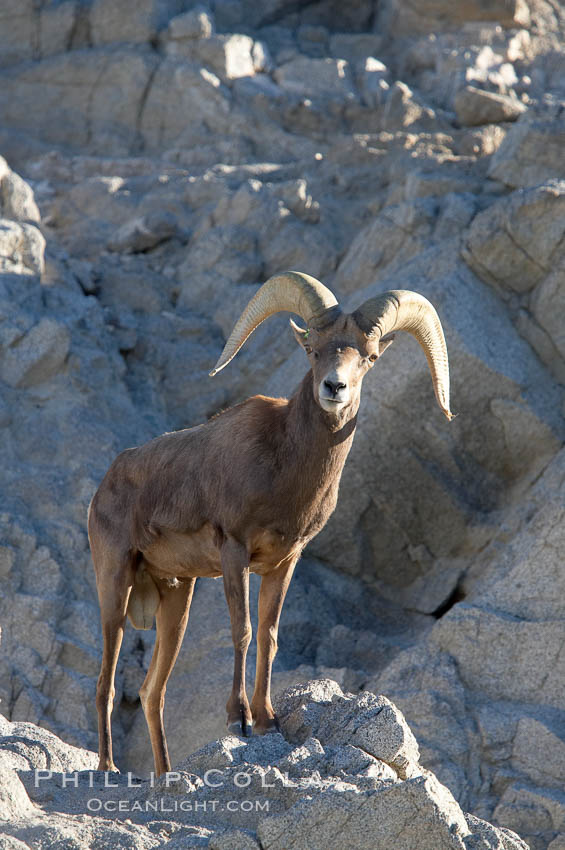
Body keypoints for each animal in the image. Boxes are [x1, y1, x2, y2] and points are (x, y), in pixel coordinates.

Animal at [89, 272, 450, 776]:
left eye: (369, 357)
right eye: (313, 350)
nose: (334, 388)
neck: (283, 465)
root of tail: (105, 483)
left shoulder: (283, 563)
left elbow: (269, 635)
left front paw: (266, 720)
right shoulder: (235, 552)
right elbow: (241, 631)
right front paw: (238, 719)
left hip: (175, 598)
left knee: (150, 692)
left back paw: (165, 774)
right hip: (115, 585)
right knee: (105, 682)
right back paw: (107, 768)